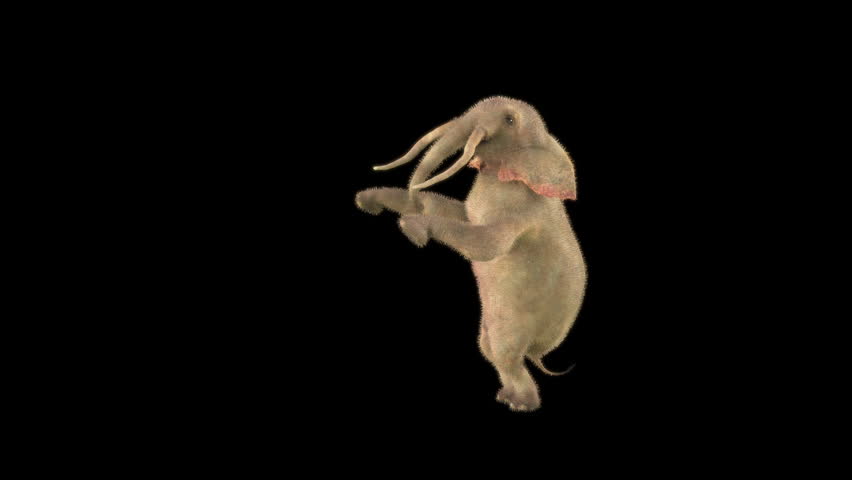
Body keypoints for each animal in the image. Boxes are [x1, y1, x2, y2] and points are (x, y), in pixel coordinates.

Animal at [355, 96, 587, 412]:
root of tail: (538, 351)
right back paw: (506, 396)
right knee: (487, 349)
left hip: (515, 324)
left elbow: (486, 246)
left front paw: (412, 229)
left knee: (505, 353)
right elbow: (454, 212)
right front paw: (369, 200)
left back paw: (521, 405)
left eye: (509, 120)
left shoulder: (523, 214)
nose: (412, 191)